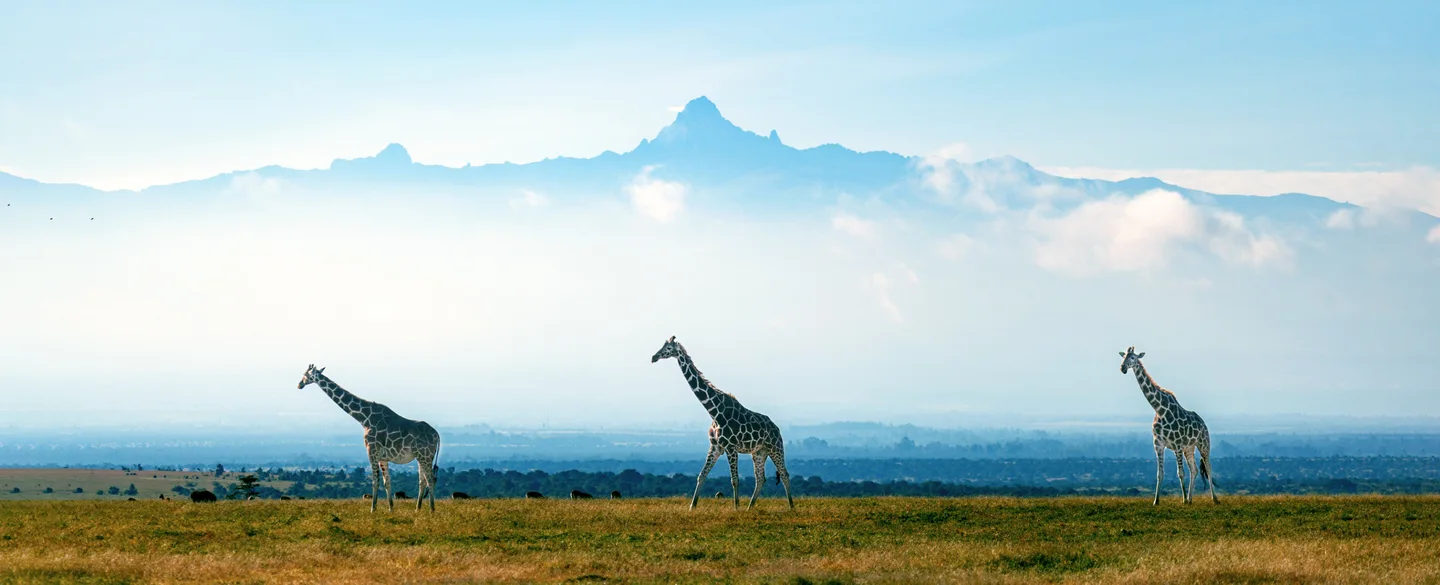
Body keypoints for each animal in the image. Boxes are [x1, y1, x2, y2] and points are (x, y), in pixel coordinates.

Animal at [297, 364, 441, 512]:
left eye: (305, 375)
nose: (299, 384)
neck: (364, 418)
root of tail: (437, 435)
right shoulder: (383, 457)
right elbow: (387, 482)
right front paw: (391, 509)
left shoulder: (371, 451)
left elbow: (375, 481)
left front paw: (373, 509)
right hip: (421, 457)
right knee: (422, 481)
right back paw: (417, 509)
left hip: (425, 455)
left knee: (430, 479)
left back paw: (432, 510)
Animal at [651, 336, 794, 511]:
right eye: (662, 345)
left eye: (668, 348)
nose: (654, 357)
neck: (714, 411)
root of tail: (777, 428)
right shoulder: (715, 446)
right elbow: (701, 475)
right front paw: (692, 506)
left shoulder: (730, 447)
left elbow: (735, 480)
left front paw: (736, 508)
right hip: (759, 452)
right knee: (760, 478)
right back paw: (750, 507)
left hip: (775, 448)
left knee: (784, 474)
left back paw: (791, 506)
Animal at [1119, 347, 1218, 505]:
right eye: (1123, 357)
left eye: (1133, 357)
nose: (1122, 368)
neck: (1159, 409)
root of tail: (1203, 423)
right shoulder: (1158, 444)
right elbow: (1160, 474)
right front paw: (1156, 501)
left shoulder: (1176, 445)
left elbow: (1180, 473)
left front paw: (1183, 500)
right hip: (1189, 448)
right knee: (1194, 469)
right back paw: (1191, 498)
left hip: (1203, 443)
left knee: (1208, 467)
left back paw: (1213, 498)